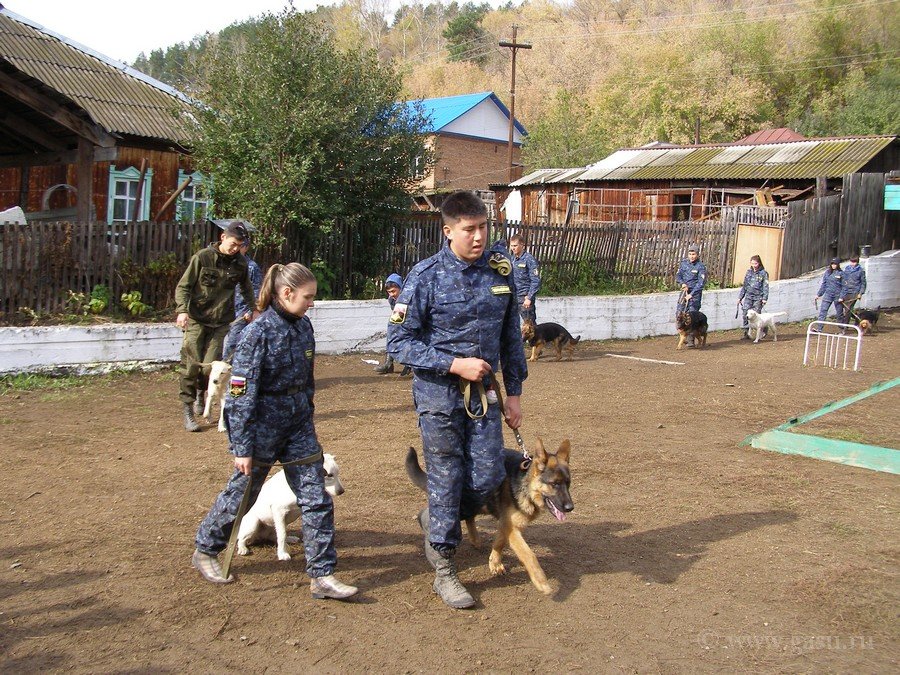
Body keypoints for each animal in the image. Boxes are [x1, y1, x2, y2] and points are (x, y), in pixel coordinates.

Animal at [404, 440, 572, 596]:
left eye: (568, 484)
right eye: (555, 484)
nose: (570, 508)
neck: (526, 484)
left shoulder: (507, 524)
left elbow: (499, 542)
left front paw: (494, 563)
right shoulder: (510, 527)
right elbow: (529, 555)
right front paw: (541, 582)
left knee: (469, 516)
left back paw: (475, 539)